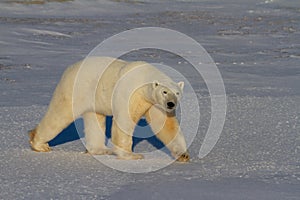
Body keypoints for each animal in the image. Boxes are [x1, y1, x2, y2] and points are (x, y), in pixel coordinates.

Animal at [29, 56, 190, 162]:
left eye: (177, 93)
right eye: (164, 92)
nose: (171, 104)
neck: (143, 78)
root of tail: (70, 68)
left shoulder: (154, 104)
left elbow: (166, 126)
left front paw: (183, 155)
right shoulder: (130, 93)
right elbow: (124, 121)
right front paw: (132, 155)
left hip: (93, 97)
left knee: (94, 120)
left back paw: (100, 149)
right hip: (75, 89)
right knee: (59, 115)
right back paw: (40, 144)